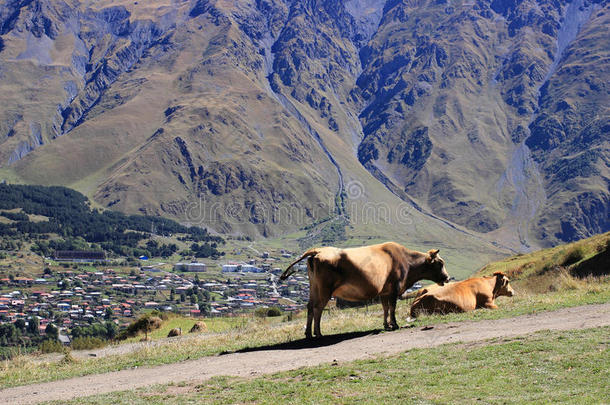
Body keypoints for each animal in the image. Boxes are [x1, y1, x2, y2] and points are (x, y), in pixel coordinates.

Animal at [280, 243, 446, 338]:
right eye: (440, 263)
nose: (447, 277)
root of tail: (317, 251)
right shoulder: (394, 288)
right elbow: (392, 308)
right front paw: (394, 325)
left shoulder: (384, 292)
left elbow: (385, 308)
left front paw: (386, 325)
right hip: (324, 290)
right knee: (317, 308)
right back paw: (318, 333)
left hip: (314, 287)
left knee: (309, 307)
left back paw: (308, 333)